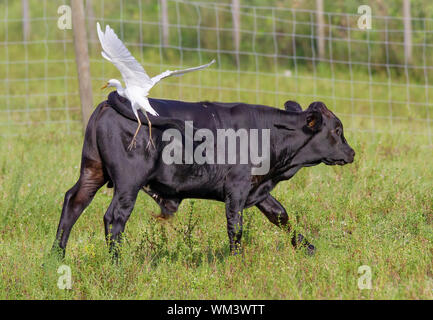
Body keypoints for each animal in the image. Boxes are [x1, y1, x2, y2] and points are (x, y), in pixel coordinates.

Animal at [51, 92, 354, 258]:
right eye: (337, 129)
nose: (351, 153)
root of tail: (112, 101)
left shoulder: (257, 189)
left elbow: (280, 215)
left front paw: (306, 246)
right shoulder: (237, 188)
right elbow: (235, 227)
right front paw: (236, 261)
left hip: (92, 170)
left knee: (73, 203)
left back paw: (56, 256)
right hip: (128, 183)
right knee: (114, 218)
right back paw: (116, 262)